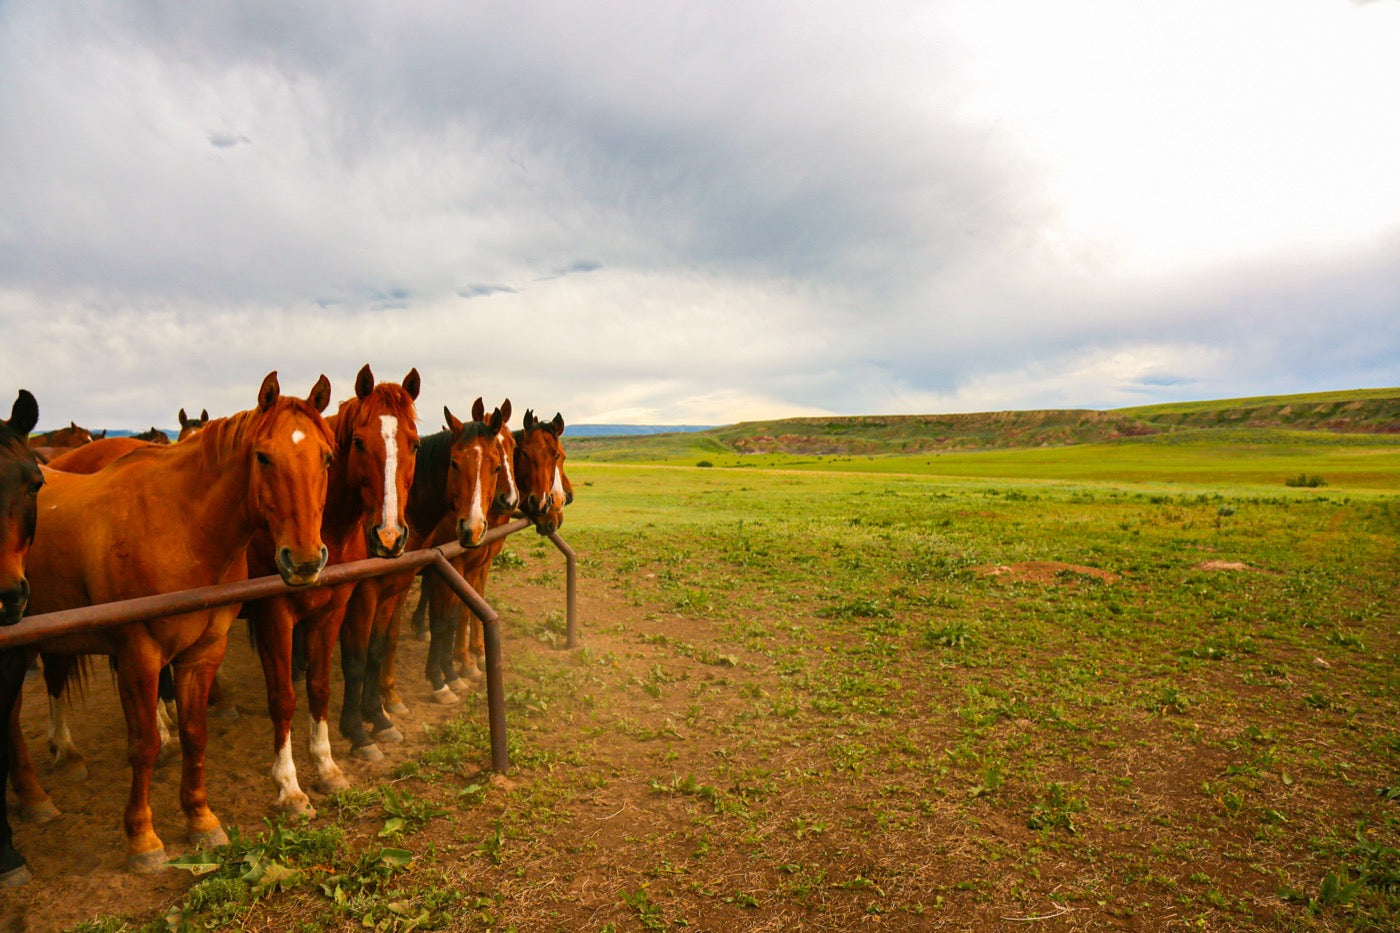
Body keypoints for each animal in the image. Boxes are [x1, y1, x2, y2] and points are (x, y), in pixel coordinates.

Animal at [7, 372, 335, 872]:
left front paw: (201, 819)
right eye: (263, 457)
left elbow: (196, 735)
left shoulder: (203, 653)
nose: (303, 562)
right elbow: (143, 745)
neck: (180, 527)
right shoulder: (139, 655)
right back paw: (34, 796)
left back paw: (60, 760)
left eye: (327, 457)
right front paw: (142, 839)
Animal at [240, 365, 419, 815]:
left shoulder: (334, 607)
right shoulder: (274, 616)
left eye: (414, 443)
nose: (389, 536)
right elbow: (284, 697)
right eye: (358, 442)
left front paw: (328, 766)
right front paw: (289, 786)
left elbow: (322, 684)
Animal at [337, 403, 504, 757]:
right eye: (454, 462)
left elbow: (380, 648)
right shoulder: (365, 595)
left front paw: (380, 714)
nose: (472, 529)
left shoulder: (396, 588)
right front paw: (357, 731)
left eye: (496, 466)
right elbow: (358, 660)